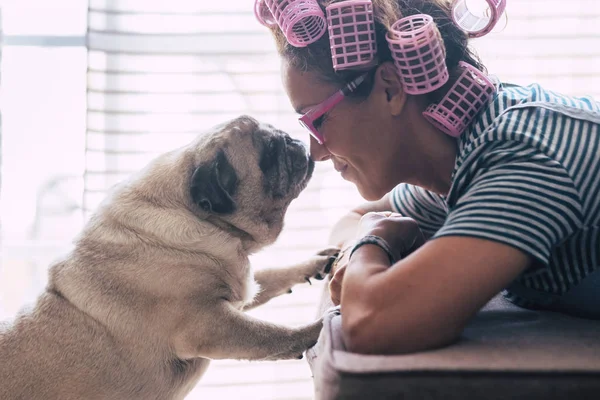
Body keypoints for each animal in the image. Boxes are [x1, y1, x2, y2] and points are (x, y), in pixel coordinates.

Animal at [0, 115, 338, 400]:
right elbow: (268, 335)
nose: (292, 139)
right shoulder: (209, 324)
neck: (192, 212)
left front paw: (313, 264)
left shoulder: (239, 292)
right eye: (267, 154)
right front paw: (319, 329)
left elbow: (273, 276)